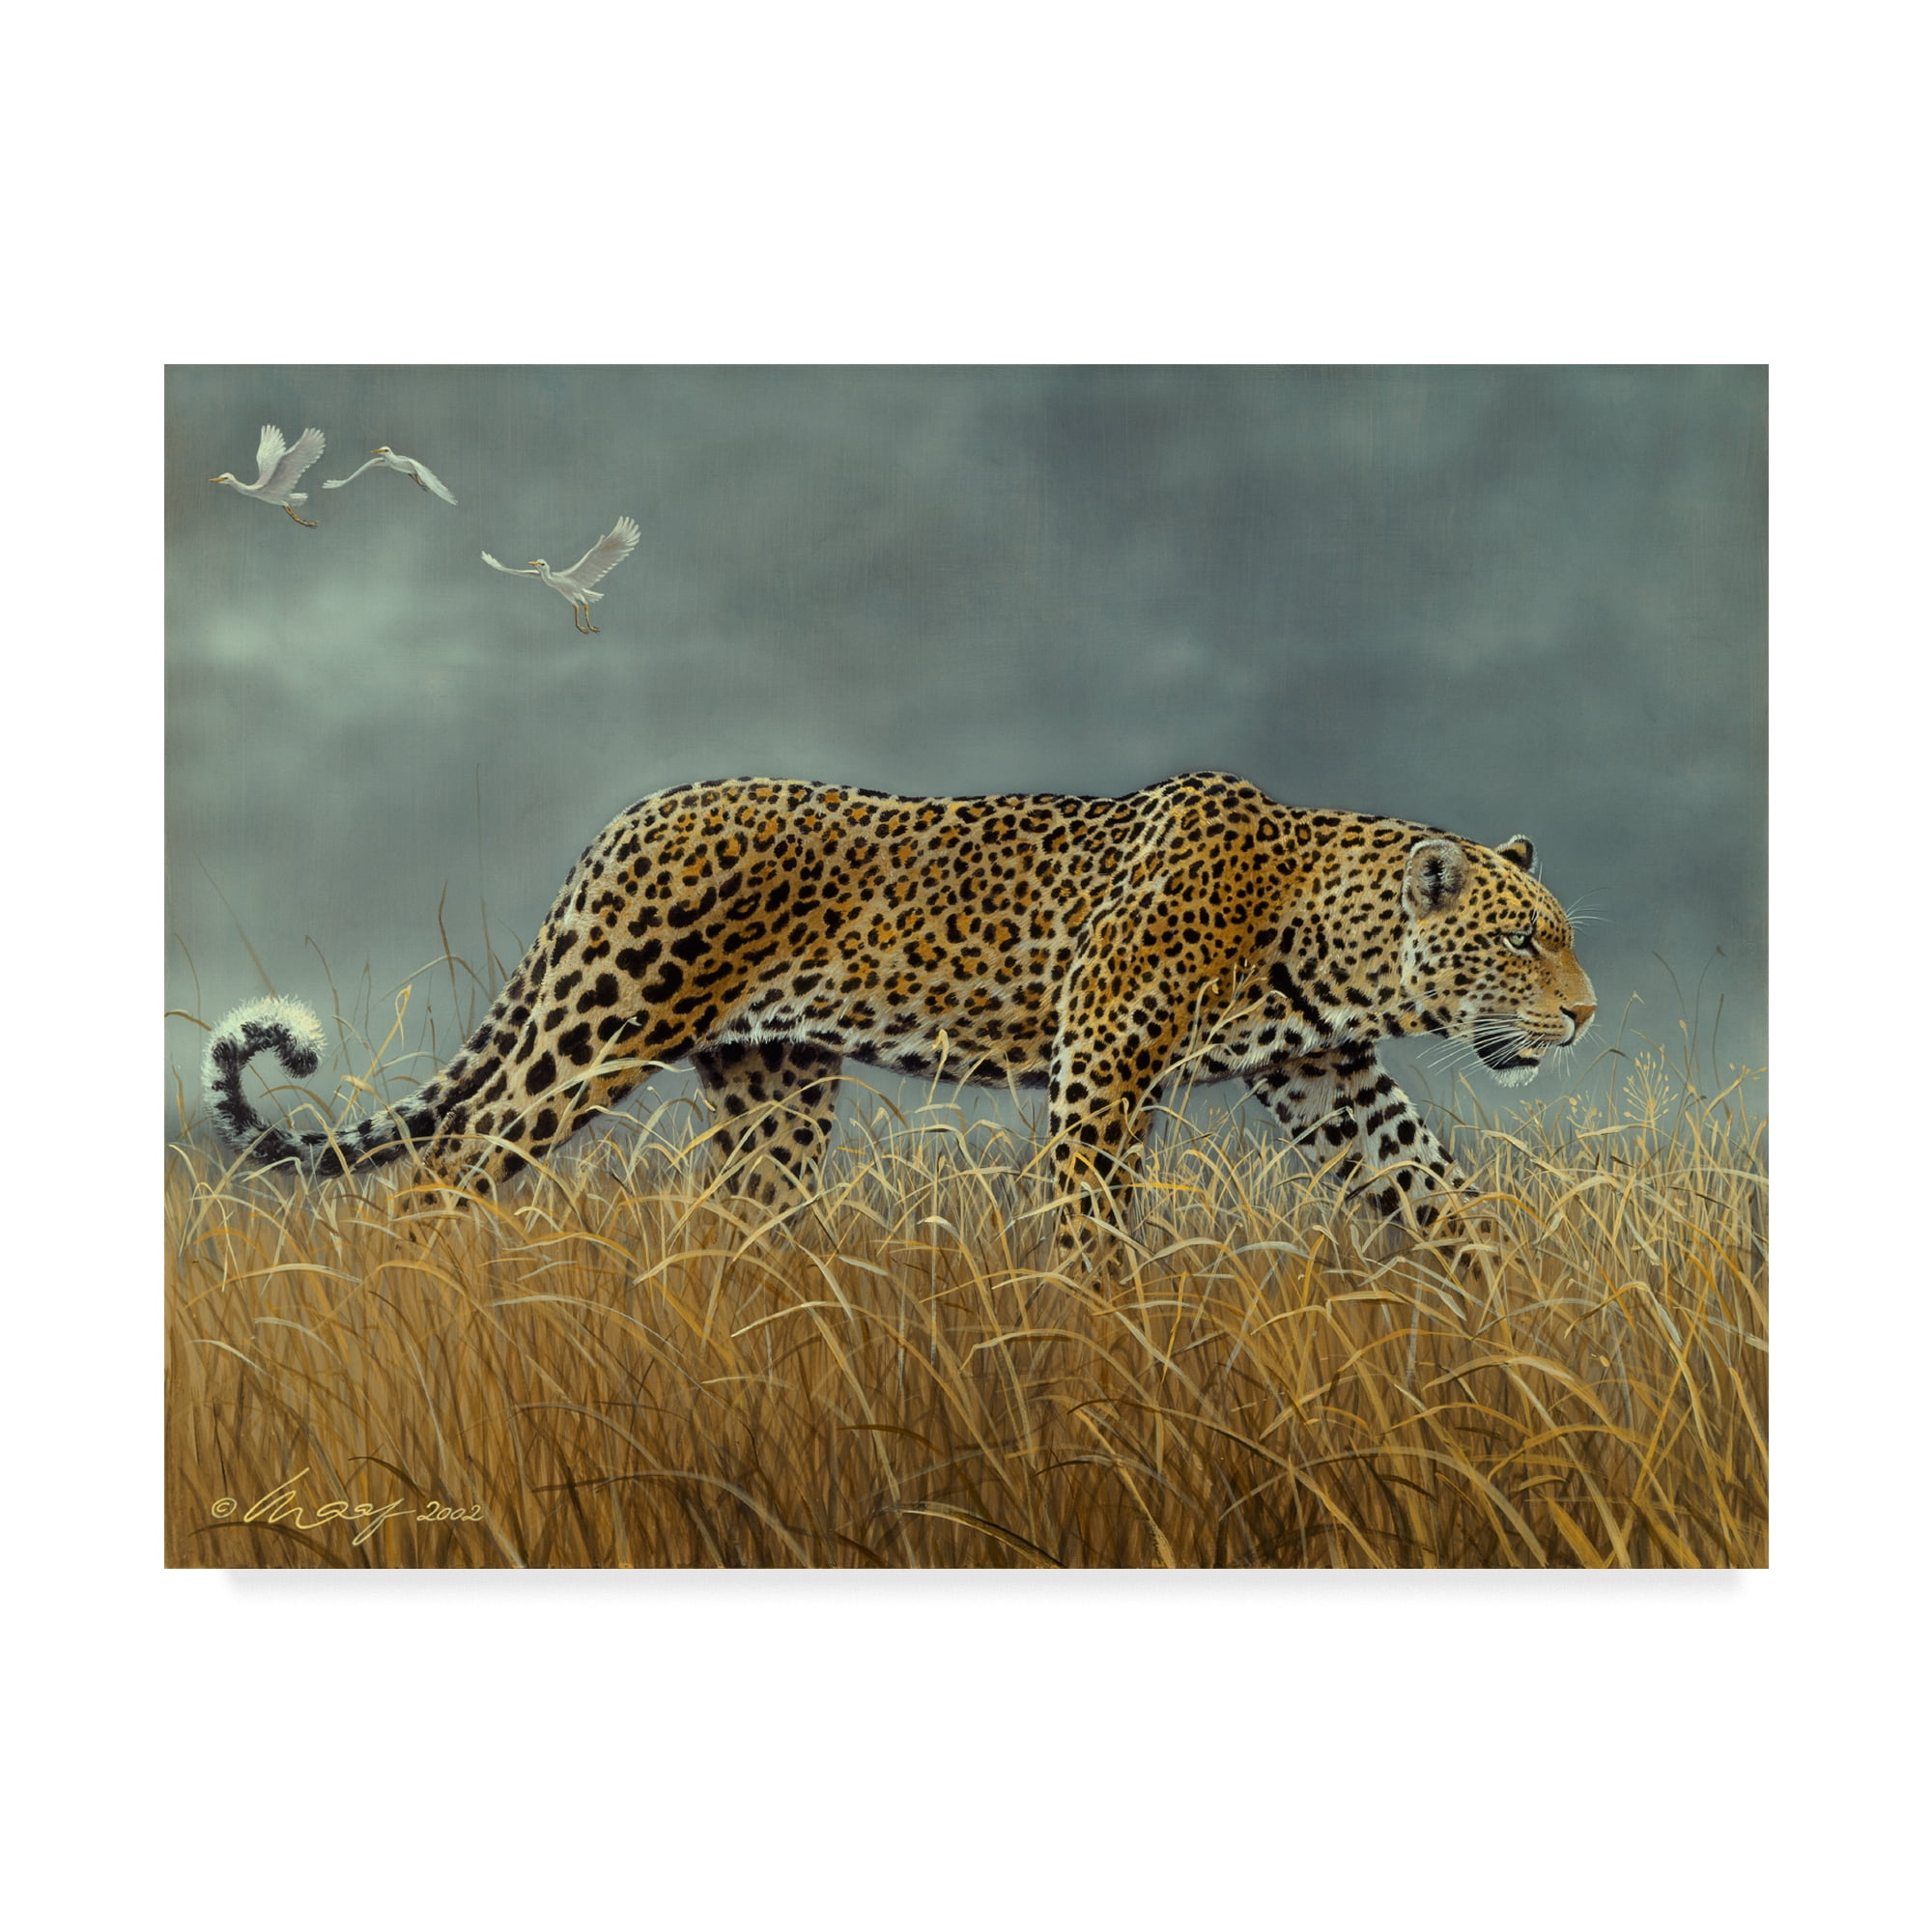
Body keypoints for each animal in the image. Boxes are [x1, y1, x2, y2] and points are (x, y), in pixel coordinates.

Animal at [204, 771, 1596, 1267]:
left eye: (1559, 932)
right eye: (1525, 939)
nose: (1584, 1016)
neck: (1323, 936)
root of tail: (632, 816)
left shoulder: (1333, 1080)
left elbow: (1442, 1194)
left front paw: (1525, 1325)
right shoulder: (1101, 1072)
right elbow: (1089, 1226)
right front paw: (1103, 1355)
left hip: (775, 1083)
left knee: (737, 1217)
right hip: (600, 1026)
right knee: (442, 1170)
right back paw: (419, 1299)